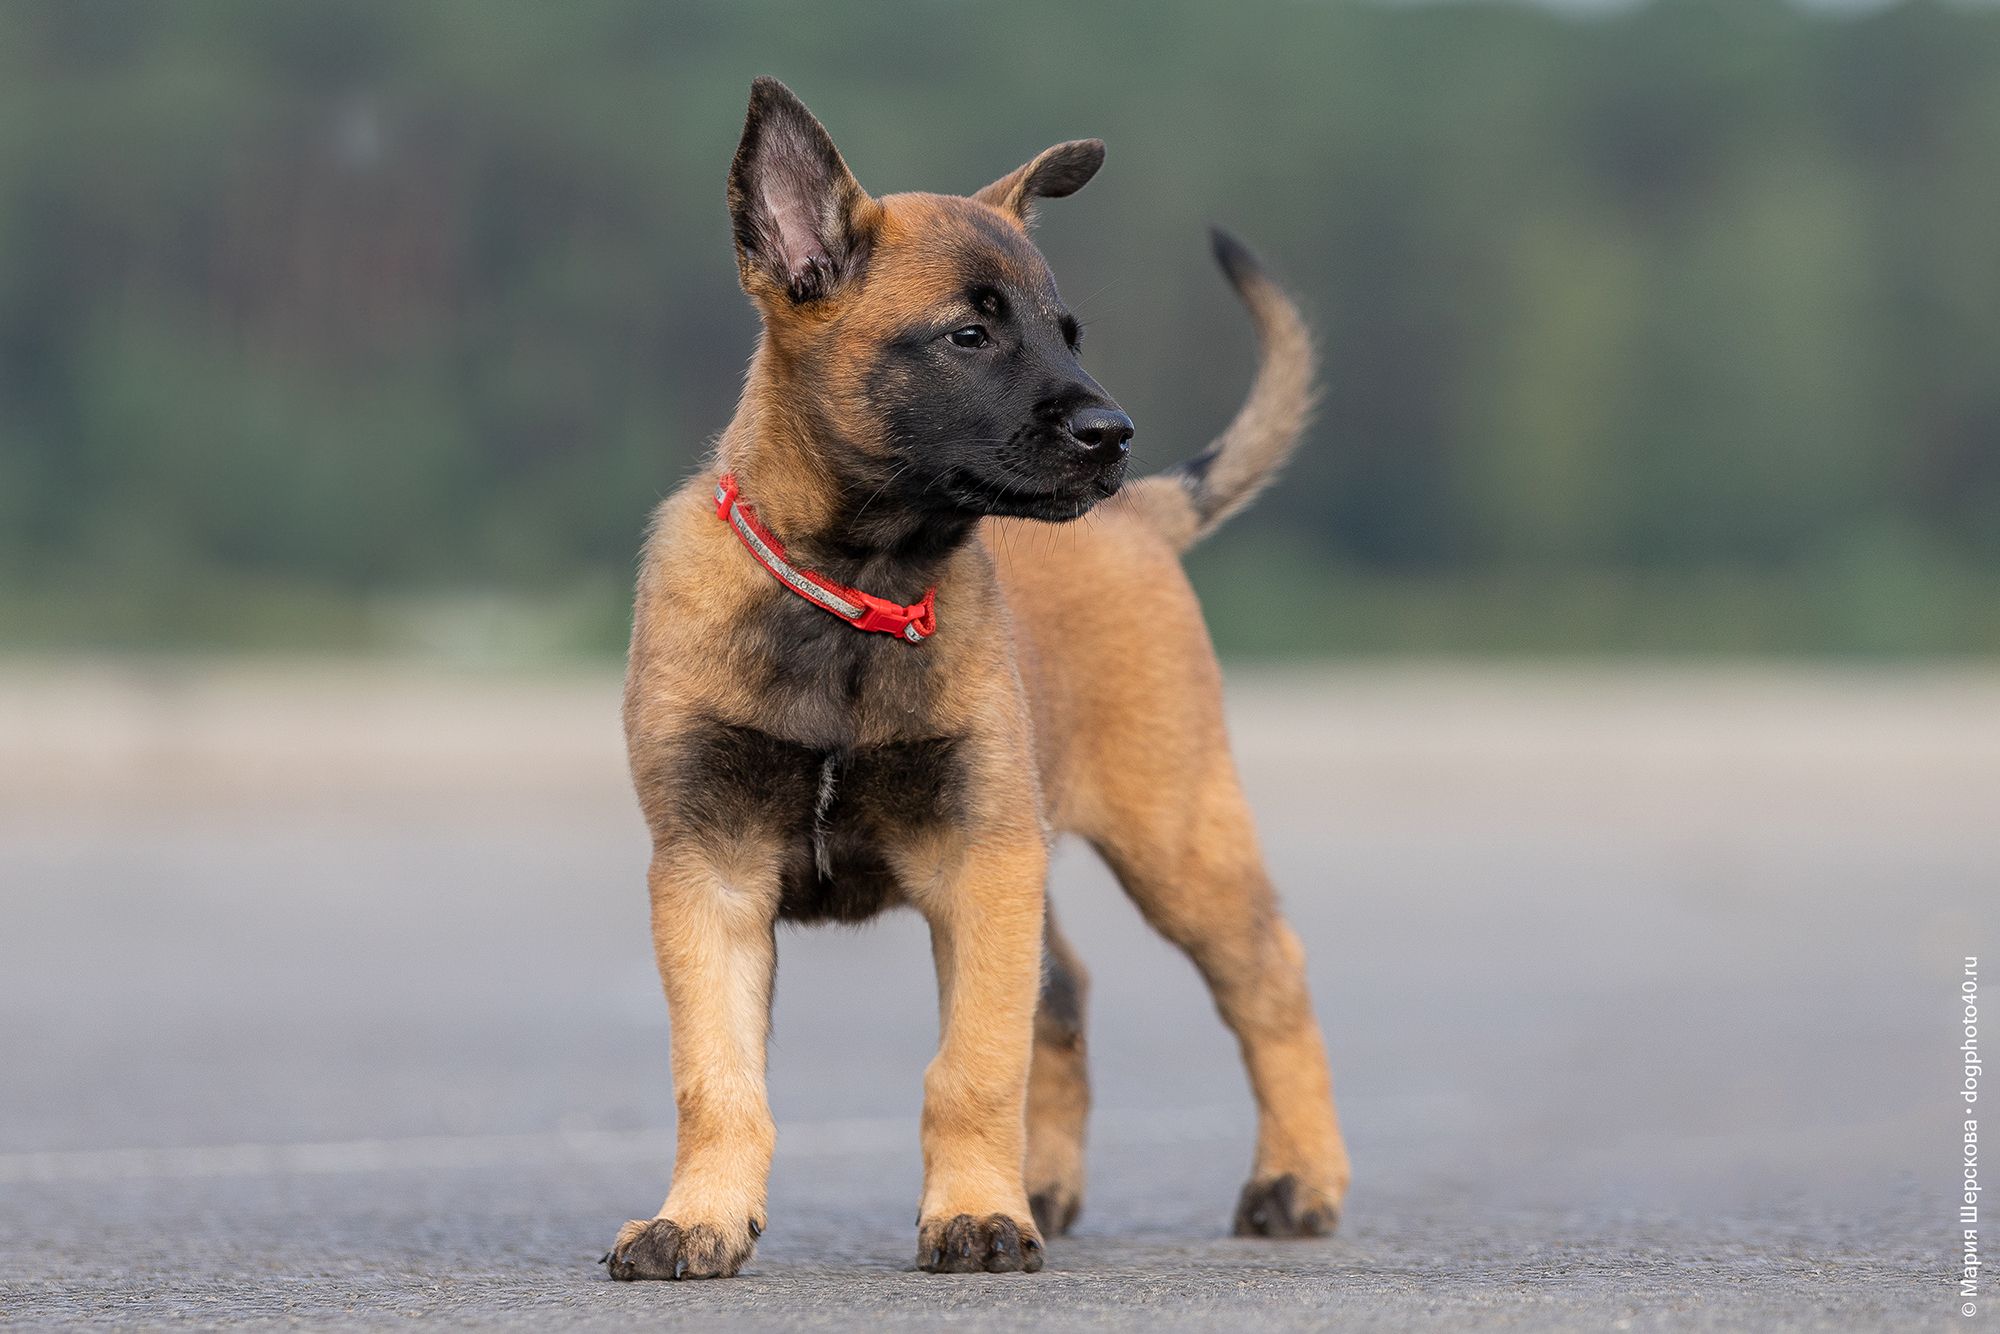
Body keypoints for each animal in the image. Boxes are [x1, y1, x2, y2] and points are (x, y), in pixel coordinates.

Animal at [608, 75, 1352, 1280]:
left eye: (1067, 333)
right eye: (968, 334)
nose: (1114, 434)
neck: (852, 595)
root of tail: (1145, 519)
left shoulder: (979, 862)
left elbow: (971, 1065)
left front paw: (972, 1214)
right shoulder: (709, 872)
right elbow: (716, 1077)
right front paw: (700, 1217)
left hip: (1174, 834)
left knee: (1266, 980)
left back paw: (1296, 1179)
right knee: (1069, 991)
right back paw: (1047, 1182)